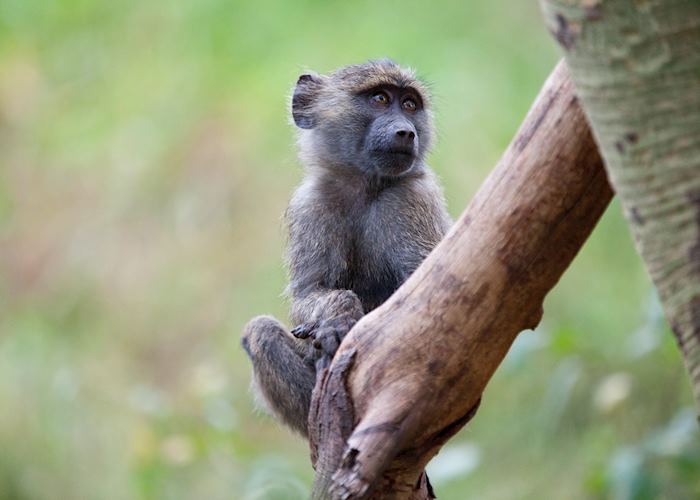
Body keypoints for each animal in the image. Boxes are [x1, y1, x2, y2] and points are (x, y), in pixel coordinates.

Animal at [241, 60, 452, 437]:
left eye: (409, 104)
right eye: (380, 98)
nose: (406, 132)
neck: (365, 185)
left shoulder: (411, 199)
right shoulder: (311, 205)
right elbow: (309, 293)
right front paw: (339, 315)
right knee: (259, 332)